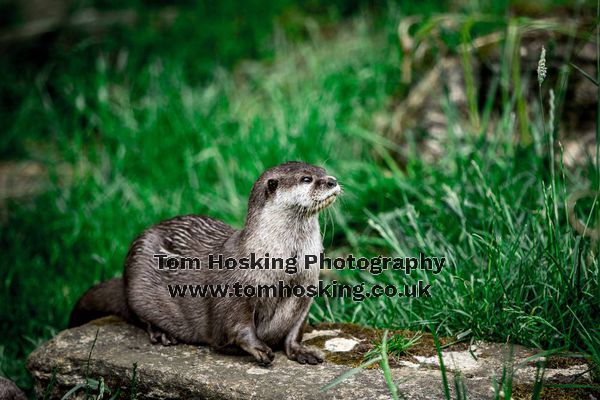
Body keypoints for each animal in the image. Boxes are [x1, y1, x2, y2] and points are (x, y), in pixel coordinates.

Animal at [69, 161, 342, 364]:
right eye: (306, 178)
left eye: (322, 170)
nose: (333, 181)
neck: (284, 268)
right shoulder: (234, 291)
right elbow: (237, 326)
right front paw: (259, 349)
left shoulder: (305, 291)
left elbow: (296, 329)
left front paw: (301, 351)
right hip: (138, 272)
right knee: (137, 313)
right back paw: (162, 333)